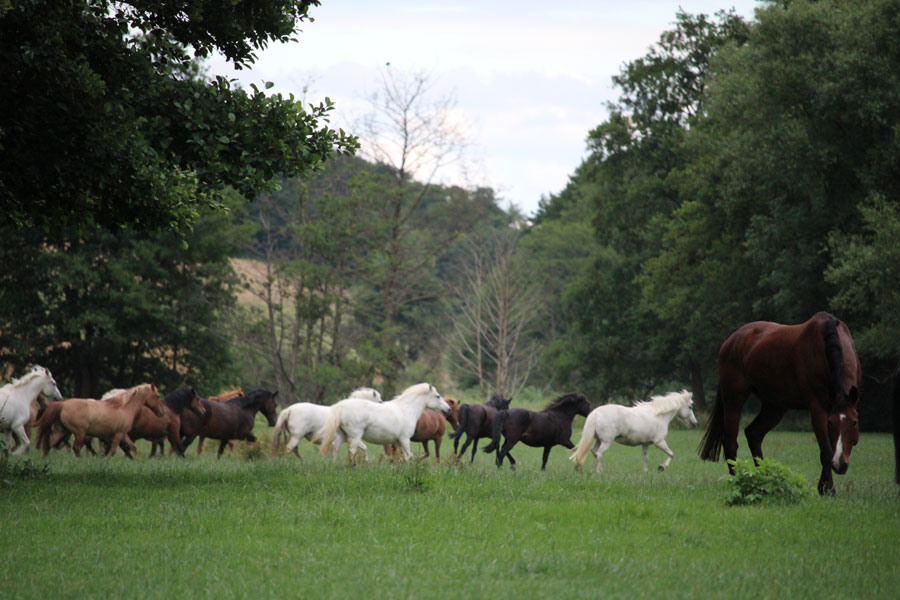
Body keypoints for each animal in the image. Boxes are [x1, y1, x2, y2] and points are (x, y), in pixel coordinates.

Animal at [316, 383, 450, 462]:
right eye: (438, 396)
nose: (448, 409)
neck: (406, 410)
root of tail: (340, 406)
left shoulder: (399, 442)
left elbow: (404, 456)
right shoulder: (405, 439)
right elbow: (408, 456)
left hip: (343, 435)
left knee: (335, 447)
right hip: (354, 436)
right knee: (352, 451)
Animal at [699, 312, 861, 495]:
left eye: (854, 422)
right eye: (831, 423)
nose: (840, 464)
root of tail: (734, 337)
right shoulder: (818, 410)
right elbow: (826, 452)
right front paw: (827, 490)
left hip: (775, 406)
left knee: (753, 434)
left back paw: (763, 479)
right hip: (734, 400)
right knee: (731, 443)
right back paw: (737, 480)